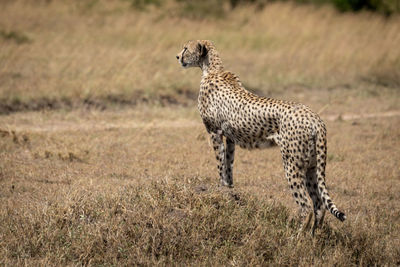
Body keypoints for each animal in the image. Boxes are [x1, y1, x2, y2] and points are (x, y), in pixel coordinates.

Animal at [177, 39, 346, 234]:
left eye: (186, 48)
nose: (177, 56)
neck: (212, 69)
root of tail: (315, 118)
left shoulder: (214, 132)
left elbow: (220, 163)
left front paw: (219, 187)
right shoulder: (231, 137)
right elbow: (229, 163)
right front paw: (229, 188)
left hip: (292, 164)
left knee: (305, 204)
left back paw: (296, 237)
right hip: (312, 166)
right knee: (319, 204)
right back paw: (313, 237)